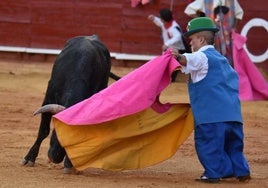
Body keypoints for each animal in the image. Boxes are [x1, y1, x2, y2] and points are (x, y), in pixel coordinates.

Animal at [22, 34, 120, 171]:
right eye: (57, 133)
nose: (55, 158)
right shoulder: (48, 98)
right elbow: (43, 131)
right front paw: (29, 158)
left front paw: (70, 164)